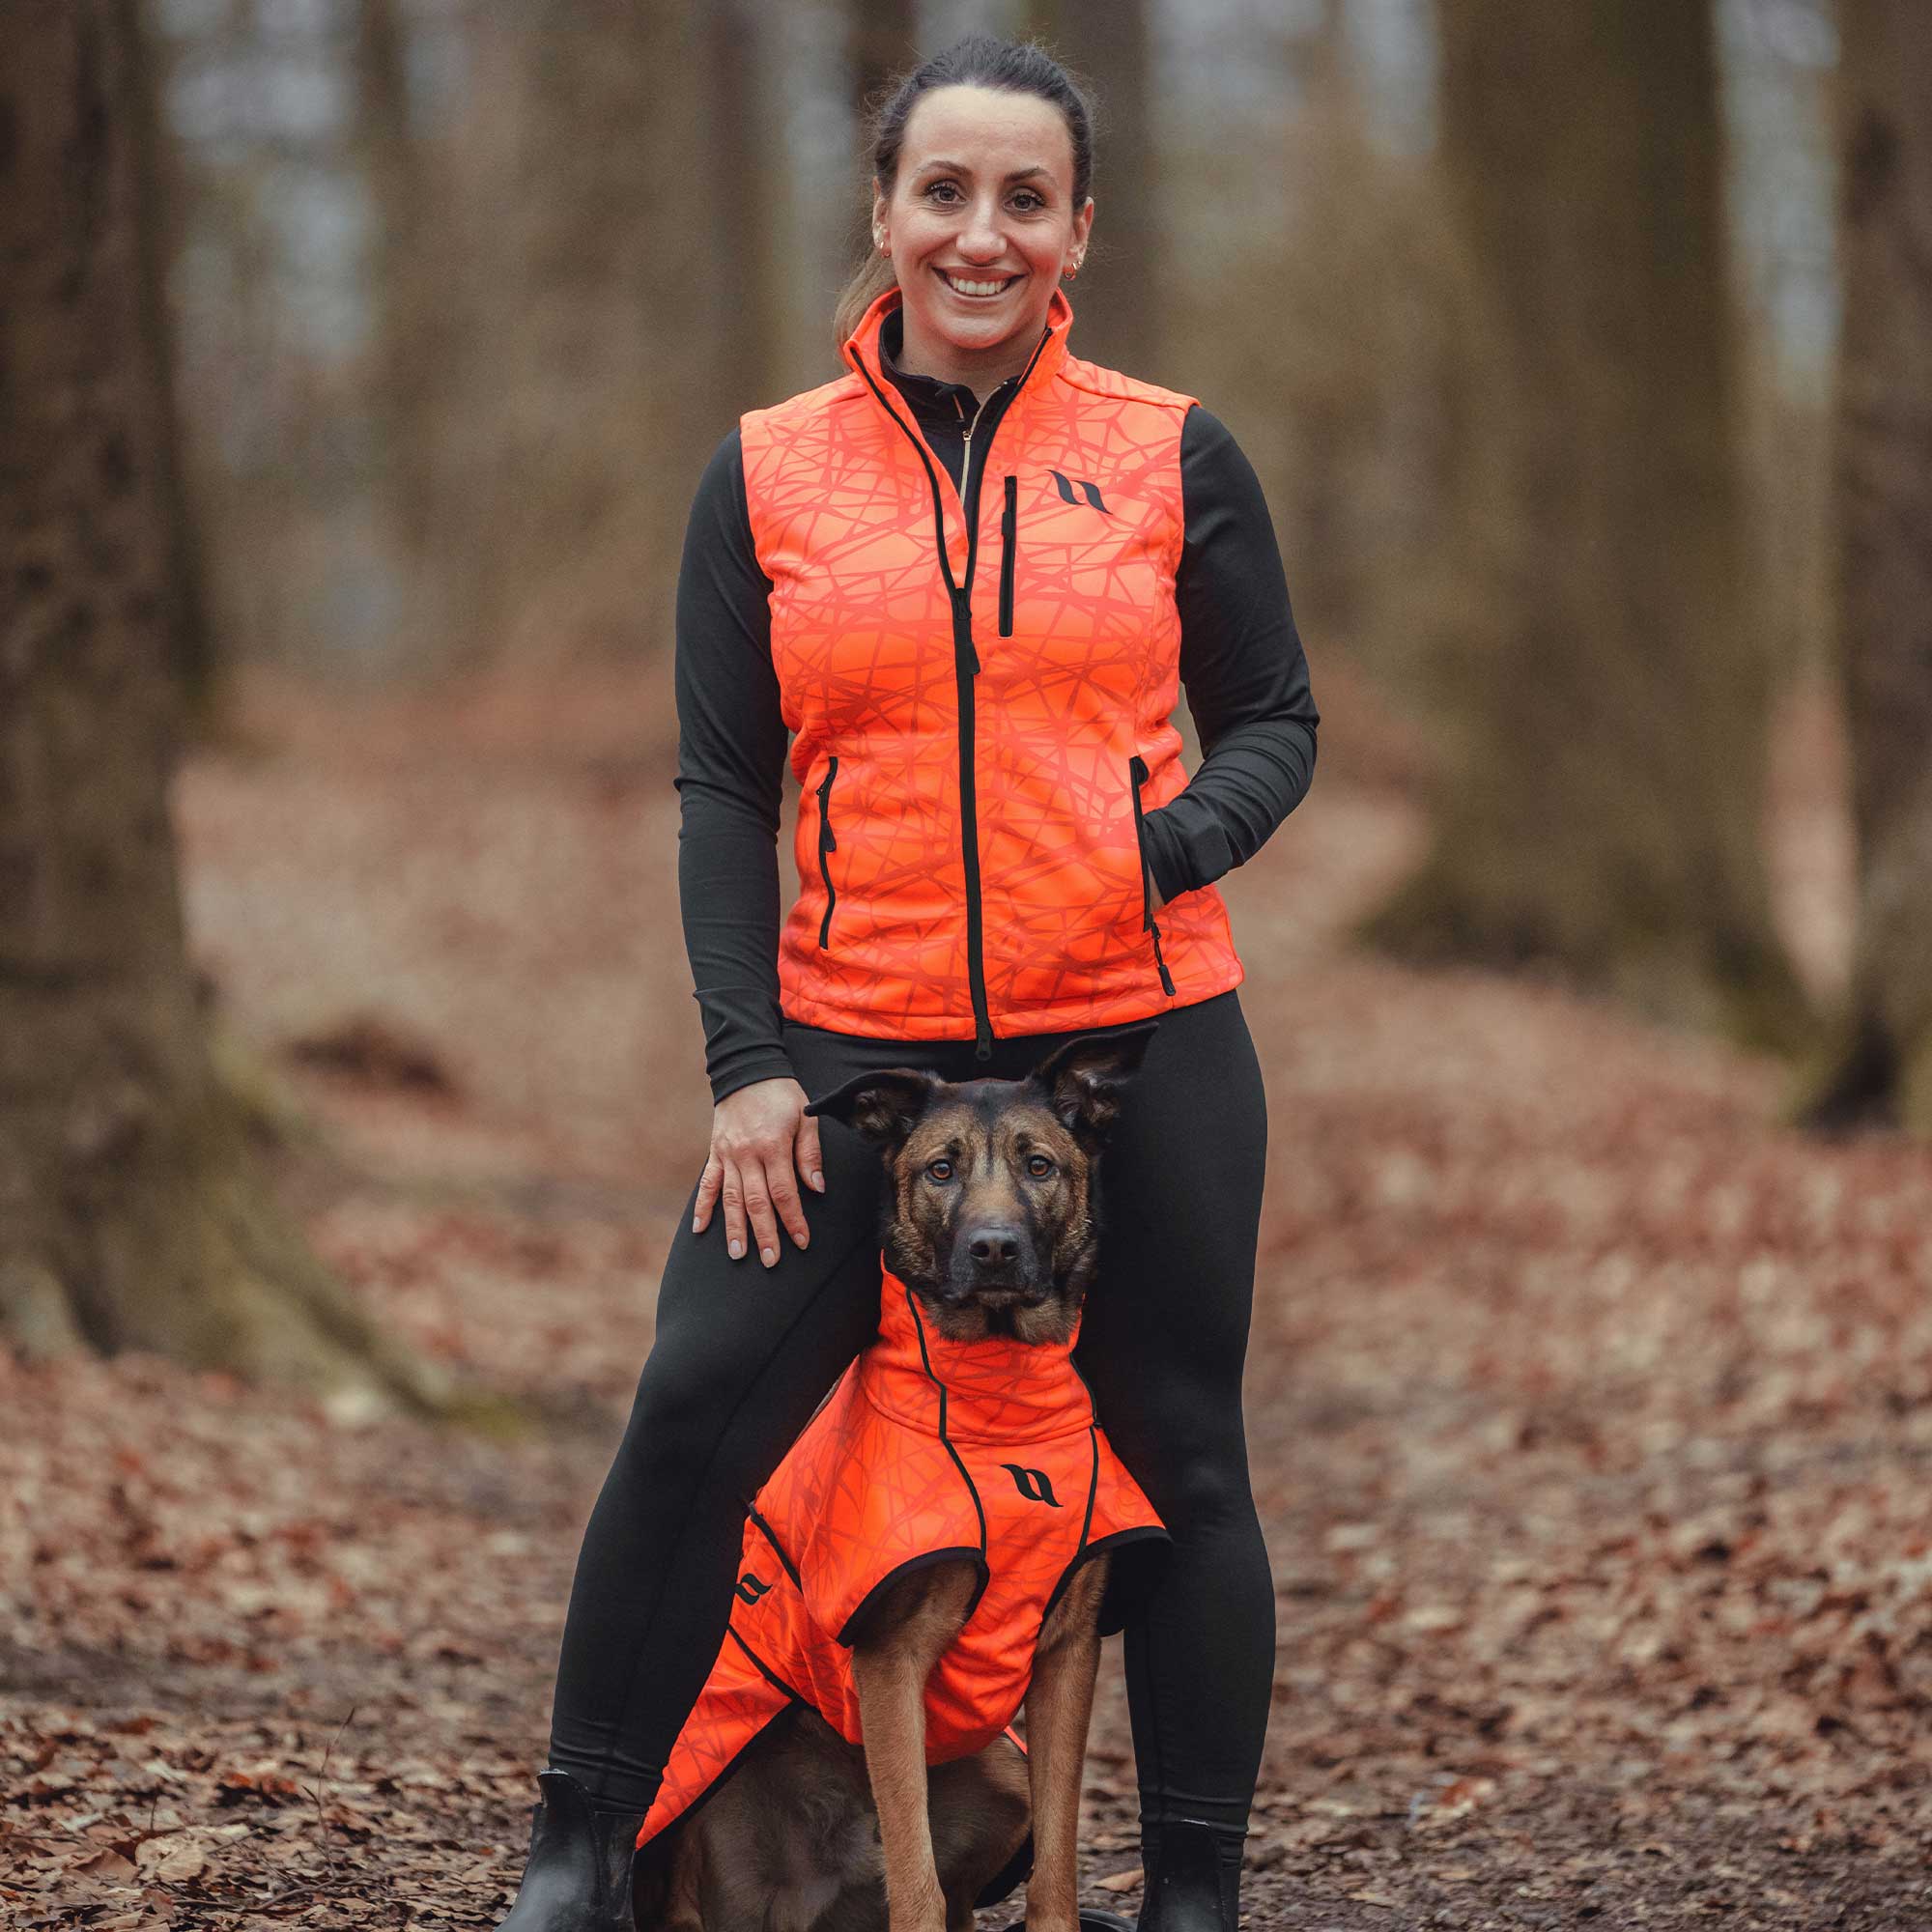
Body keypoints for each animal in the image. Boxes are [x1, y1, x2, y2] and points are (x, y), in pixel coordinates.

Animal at [634, 1028, 1151, 1932]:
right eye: (940, 1170)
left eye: (1040, 1165)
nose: (993, 1248)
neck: (999, 1410)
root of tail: (801, 1901)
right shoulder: (890, 1660)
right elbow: (913, 1871)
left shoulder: (1068, 1654)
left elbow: (1056, 1861)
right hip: (695, 1798)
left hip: (1001, 1770)